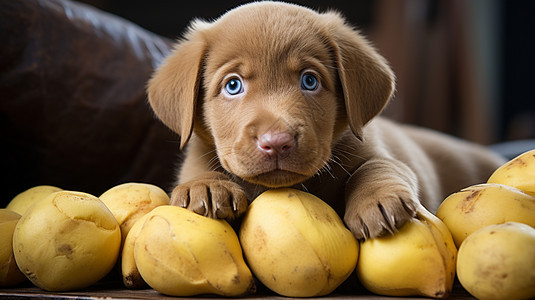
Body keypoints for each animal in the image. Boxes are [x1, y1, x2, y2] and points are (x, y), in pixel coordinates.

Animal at [148, 1, 506, 239]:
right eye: (233, 85)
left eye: (309, 81)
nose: (276, 143)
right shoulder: (198, 154)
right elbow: (196, 170)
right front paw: (207, 187)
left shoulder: (377, 151)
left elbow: (377, 167)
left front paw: (377, 200)